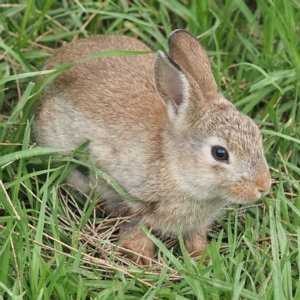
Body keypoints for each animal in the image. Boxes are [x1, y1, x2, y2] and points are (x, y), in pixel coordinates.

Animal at [32, 29, 272, 264]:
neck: (173, 165)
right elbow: (134, 230)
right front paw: (144, 262)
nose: (264, 187)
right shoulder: (124, 194)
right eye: (220, 153)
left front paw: (199, 260)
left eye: (257, 134)